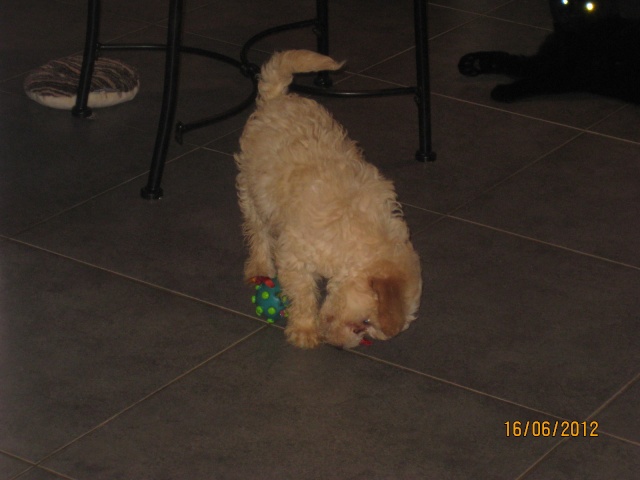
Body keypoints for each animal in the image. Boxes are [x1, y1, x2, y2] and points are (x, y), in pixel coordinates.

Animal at [232, 49, 422, 348]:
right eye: (365, 322)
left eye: (367, 329)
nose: (341, 345)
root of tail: (278, 98)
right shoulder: (296, 256)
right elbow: (304, 295)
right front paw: (304, 329)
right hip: (252, 192)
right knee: (258, 232)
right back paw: (260, 265)